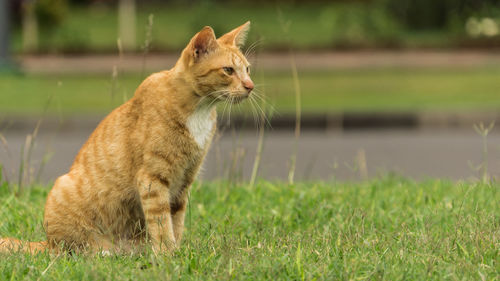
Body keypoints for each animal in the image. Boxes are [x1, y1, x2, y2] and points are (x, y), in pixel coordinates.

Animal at [0, 21, 254, 253]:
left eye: (248, 70)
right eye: (228, 70)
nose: (251, 86)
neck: (199, 110)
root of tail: (47, 243)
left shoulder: (183, 183)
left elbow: (176, 222)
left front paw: (177, 252)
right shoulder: (153, 179)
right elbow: (161, 222)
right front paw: (168, 255)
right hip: (63, 193)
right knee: (72, 250)